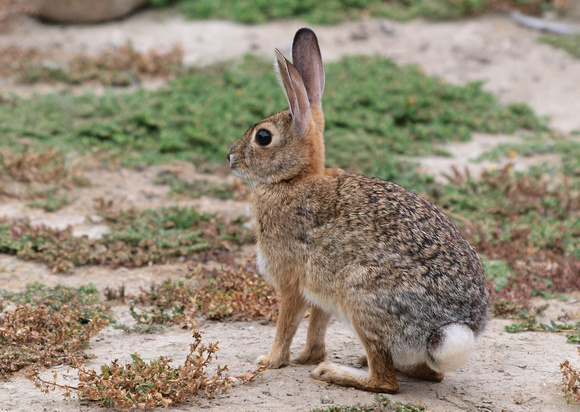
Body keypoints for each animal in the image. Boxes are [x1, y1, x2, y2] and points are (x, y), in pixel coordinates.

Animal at [227, 27, 490, 394]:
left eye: (263, 137)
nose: (230, 157)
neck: (294, 179)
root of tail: (453, 327)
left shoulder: (292, 281)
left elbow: (286, 324)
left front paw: (271, 360)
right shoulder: (319, 292)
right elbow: (316, 327)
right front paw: (307, 356)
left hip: (360, 294)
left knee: (386, 382)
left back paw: (334, 373)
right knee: (428, 374)